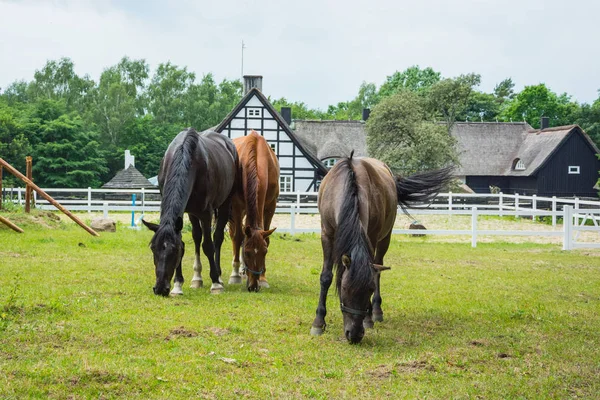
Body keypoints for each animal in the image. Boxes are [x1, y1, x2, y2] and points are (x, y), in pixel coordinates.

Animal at [143, 129, 239, 296]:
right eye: (153, 248)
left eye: (173, 250)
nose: (160, 288)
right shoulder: (185, 213)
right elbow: (186, 240)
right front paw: (177, 285)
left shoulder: (206, 213)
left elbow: (208, 245)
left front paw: (215, 283)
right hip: (193, 213)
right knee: (196, 236)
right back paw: (197, 278)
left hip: (224, 204)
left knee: (217, 237)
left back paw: (219, 277)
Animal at [227, 130, 278, 290]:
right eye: (247, 253)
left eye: (264, 252)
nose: (253, 286)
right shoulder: (236, 206)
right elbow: (238, 237)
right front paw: (235, 276)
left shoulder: (270, 206)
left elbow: (266, 237)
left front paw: (263, 278)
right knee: (235, 235)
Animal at [312, 153, 452, 344]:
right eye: (345, 289)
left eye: (370, 290)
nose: (354, 335)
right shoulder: (326, 234)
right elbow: (326, 277)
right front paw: (318, 322)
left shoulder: (371, 236)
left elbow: (372, 273)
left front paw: (368, 318)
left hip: (385, 238)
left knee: (378, 268)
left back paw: (376, 312)